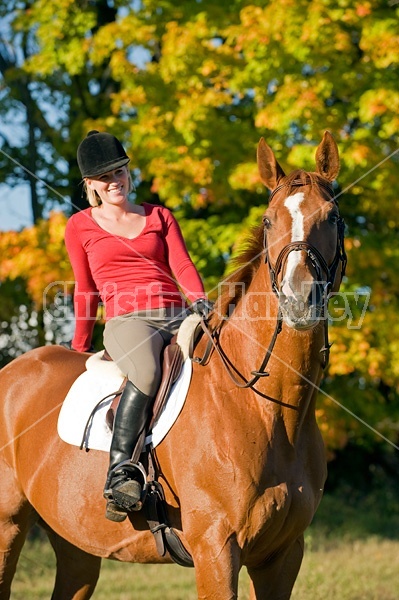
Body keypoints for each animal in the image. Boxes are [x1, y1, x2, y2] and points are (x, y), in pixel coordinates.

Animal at [0, 132, 346, 600]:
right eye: (269, 221)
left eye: (332, 217)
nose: (300, 300)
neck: (266, 409)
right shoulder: (216, 550)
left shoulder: (283, 555)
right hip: (7, 527)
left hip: (75, 543)